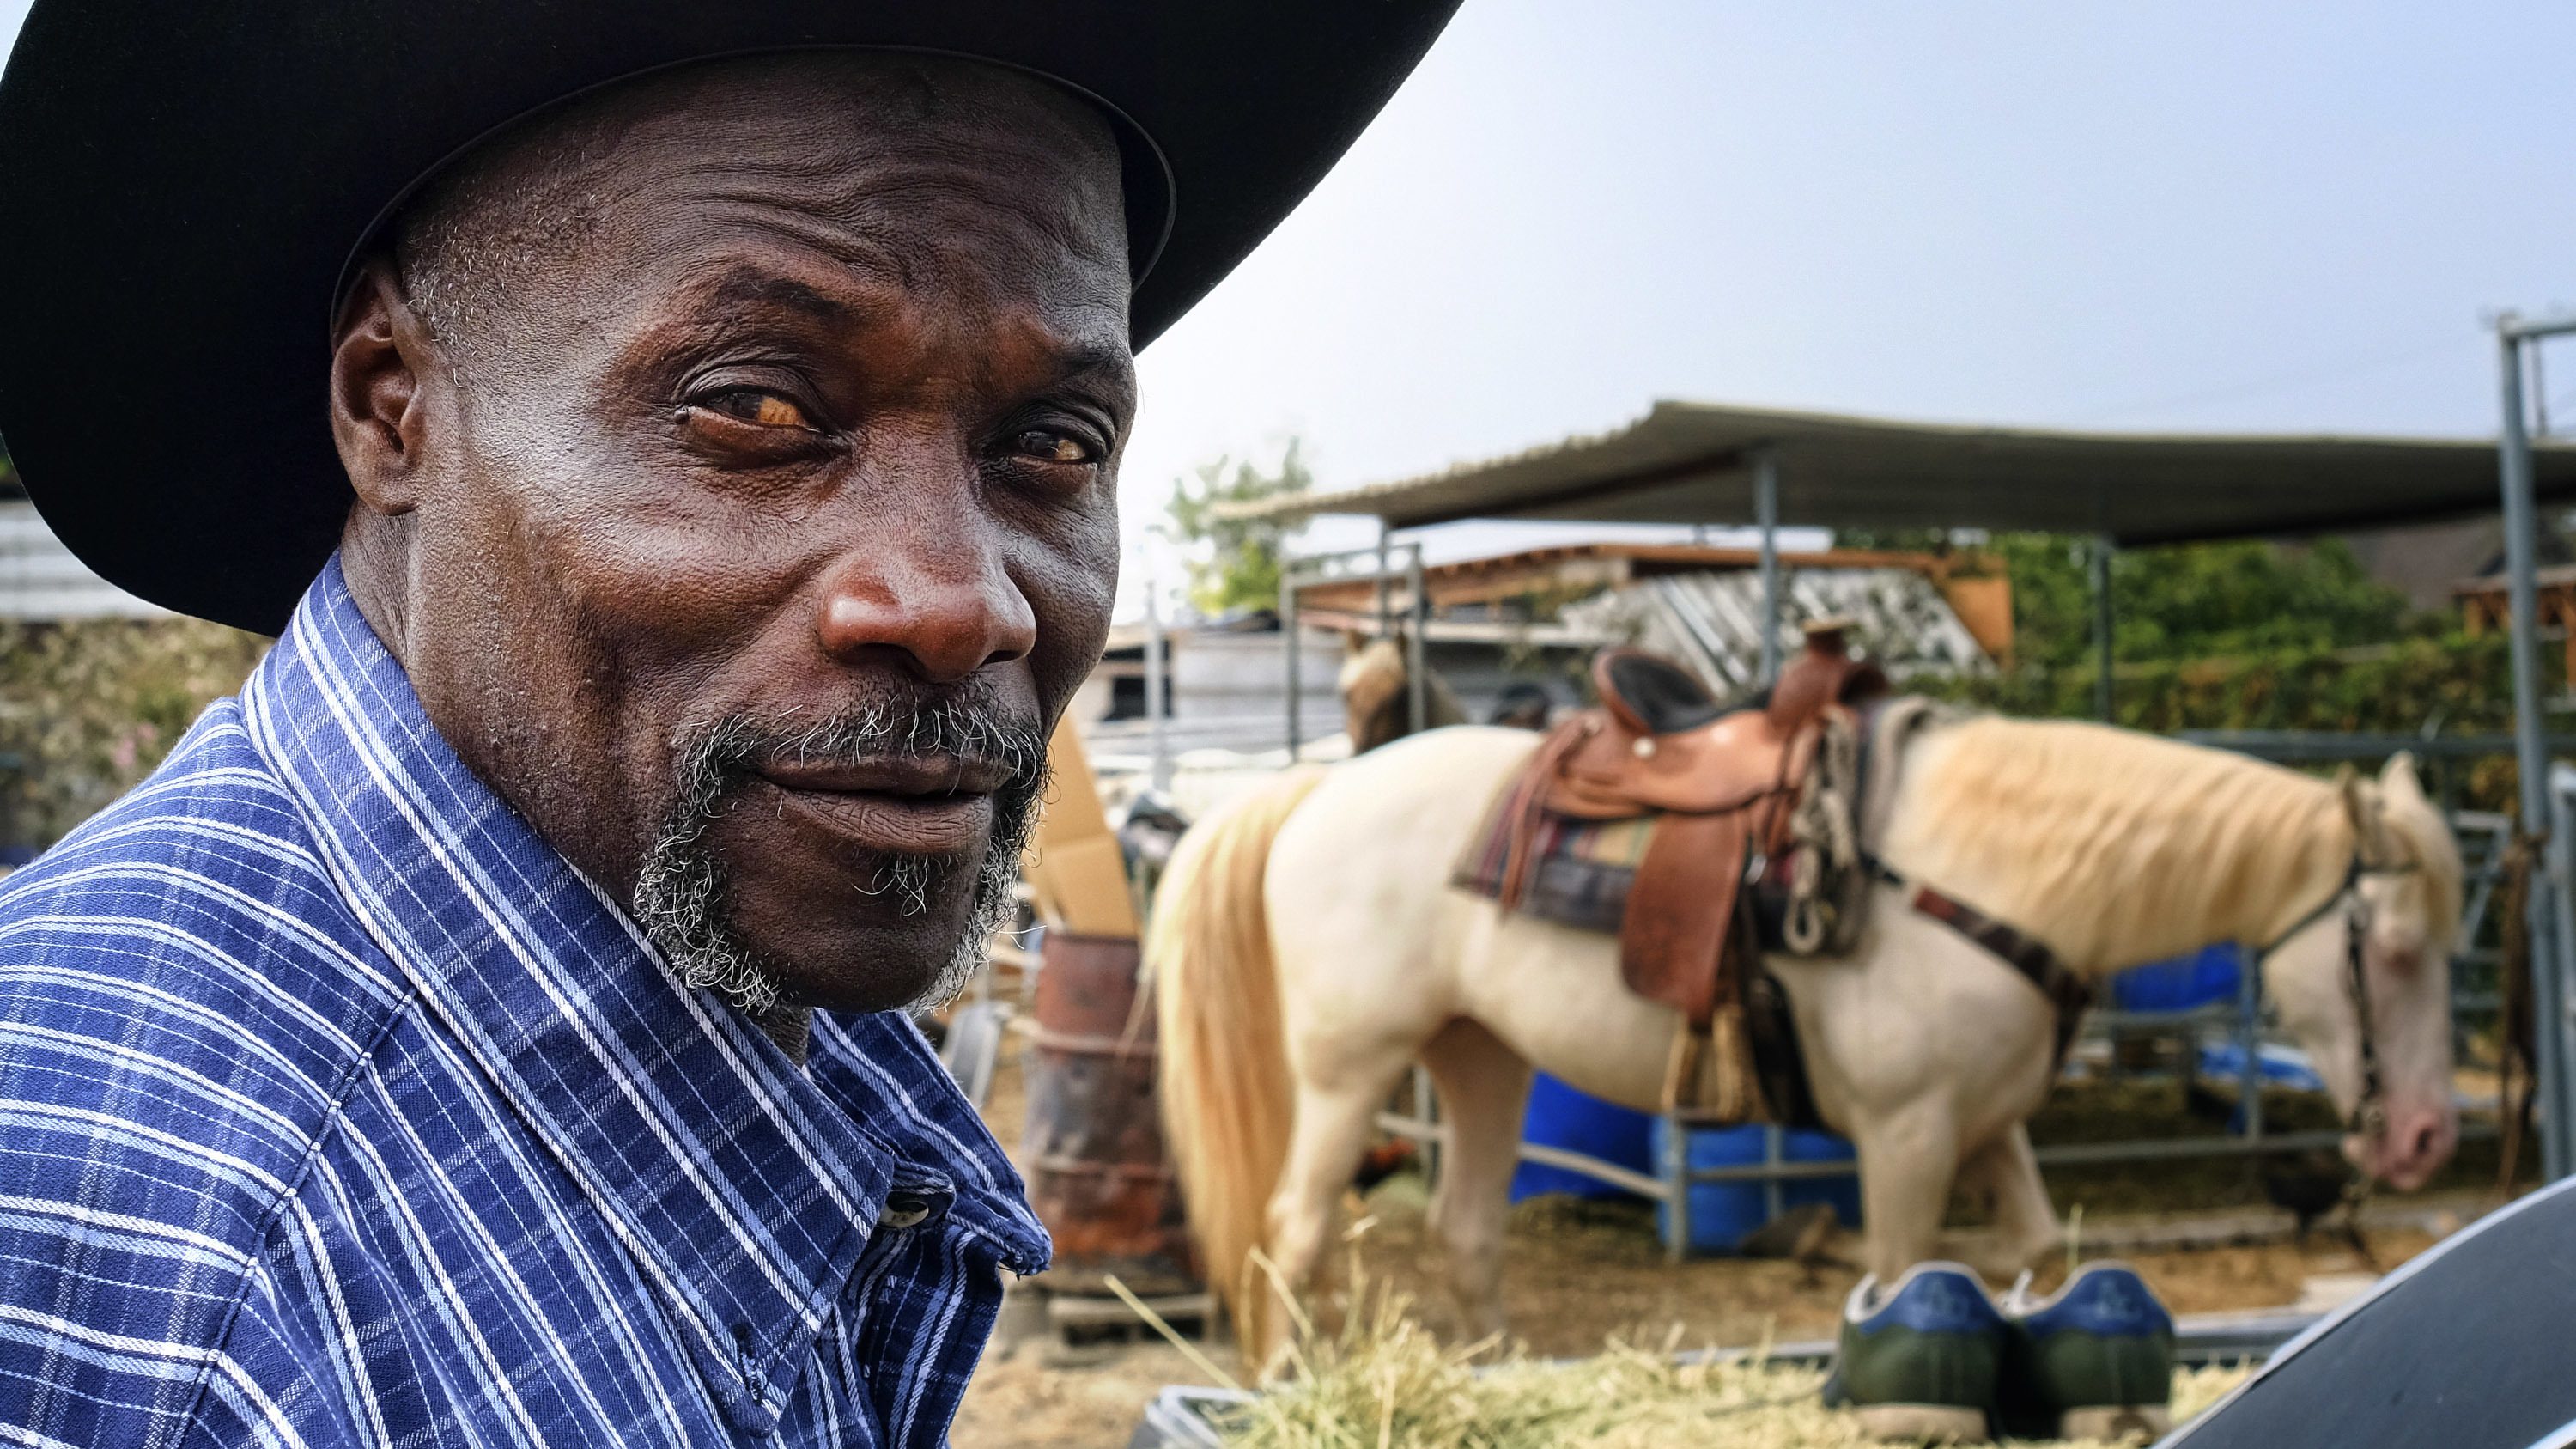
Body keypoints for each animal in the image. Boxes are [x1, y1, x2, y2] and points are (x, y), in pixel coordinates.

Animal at [1159, 711, 2463, 1350]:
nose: (2423, 1139)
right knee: (1294, 1227)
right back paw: (1285, 1377)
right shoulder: (1908, 1133)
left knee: (1469, 1229)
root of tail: (1314, 787)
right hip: (1350, 1067)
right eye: (2397, 947)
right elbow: (1903, 1275)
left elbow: (2038, 1252)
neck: (1979, 875)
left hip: (1482, 1055)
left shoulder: (1987, 1126)